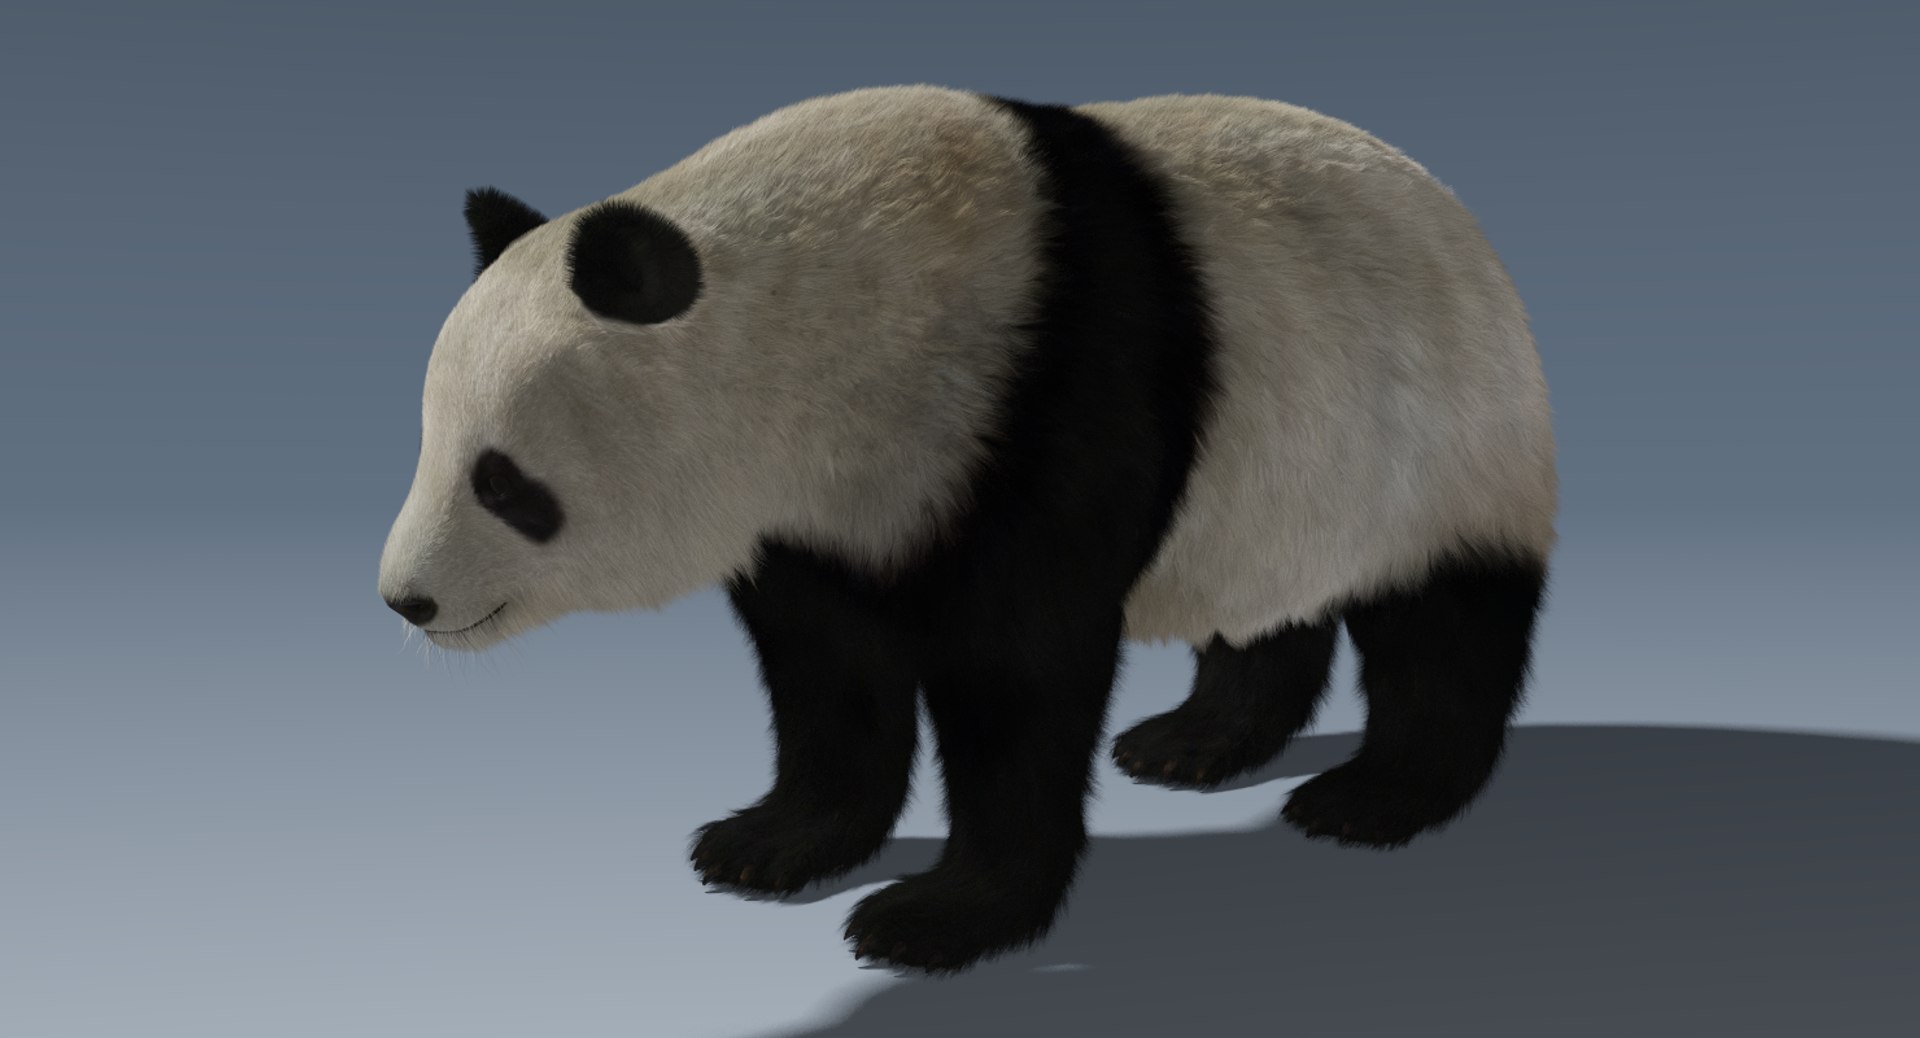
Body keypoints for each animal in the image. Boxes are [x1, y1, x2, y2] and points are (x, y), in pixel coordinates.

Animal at [378, 85, 1556, 973]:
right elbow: (830, 668)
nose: (407, 599)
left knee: (1444, 628)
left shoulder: (1044, 394)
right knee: (1266, 603)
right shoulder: (816, 508)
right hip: (1283, 484)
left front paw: (935, 917)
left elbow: (1018, 674)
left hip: (1431, 442)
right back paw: (1194, 741)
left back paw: (1373, 796)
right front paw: (772, 843)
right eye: (427, 442)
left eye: (504, 481)